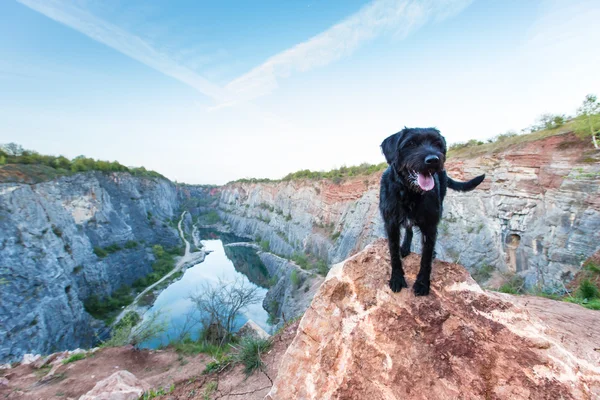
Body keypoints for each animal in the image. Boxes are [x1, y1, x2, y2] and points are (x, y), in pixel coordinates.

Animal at [380, 126, 488, 296]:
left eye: (437, 143)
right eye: (410, 144)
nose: (433, 160)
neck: (410, 193)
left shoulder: (430, 227)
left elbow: (426, 257)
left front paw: (422, 284)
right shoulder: (391, 224)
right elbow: (394, 253)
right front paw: (397, 278)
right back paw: (405, 247)